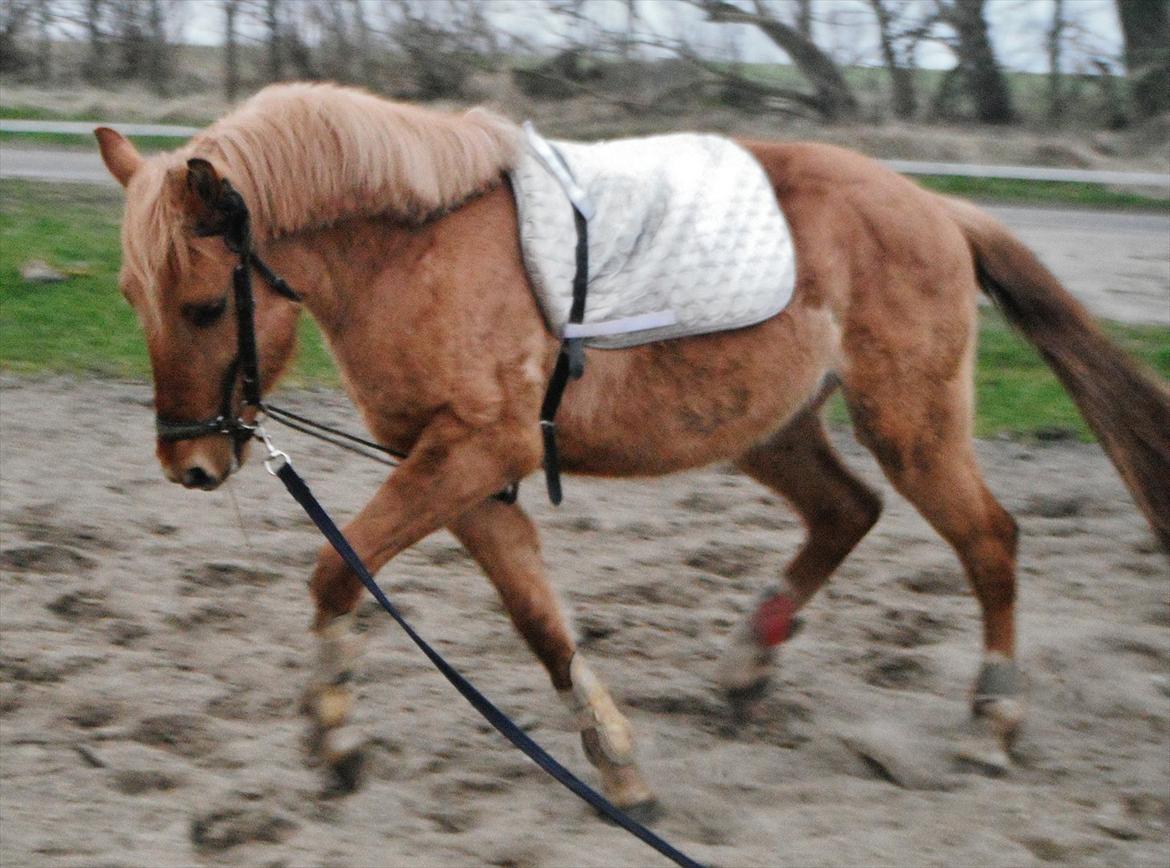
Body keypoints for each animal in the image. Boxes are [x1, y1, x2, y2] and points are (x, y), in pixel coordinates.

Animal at [95, 82, 1170, 814]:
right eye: (132, 300)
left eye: (202, 306)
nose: (190, 464)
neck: (417, 251)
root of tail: (938, 208)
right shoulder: (467, 476)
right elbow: (540, 622)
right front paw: (615, 761)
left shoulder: (472, 456)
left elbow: (334, 571)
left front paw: (332, 738)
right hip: (765, 427)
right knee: (846, 511)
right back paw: (747, 668)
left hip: (910, 424)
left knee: (989, 541)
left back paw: (991, 726)